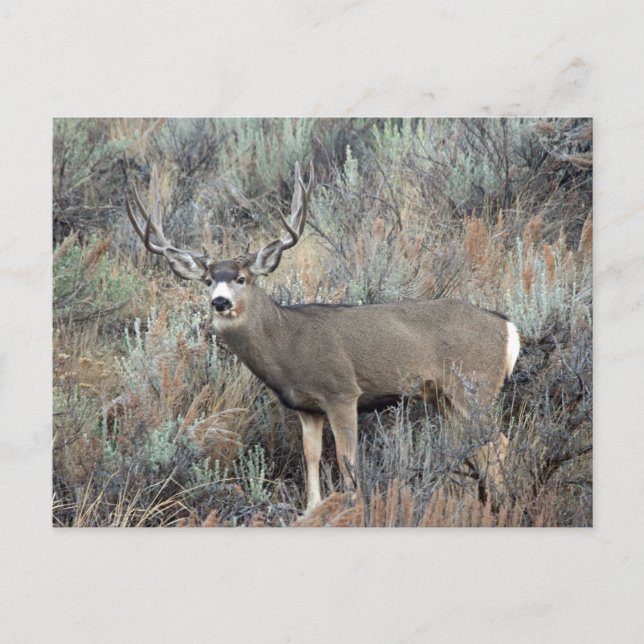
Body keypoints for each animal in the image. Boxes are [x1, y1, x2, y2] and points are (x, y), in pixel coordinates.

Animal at [125, 162, 521, 512]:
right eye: (208, 280)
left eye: (241, 278)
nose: (219, 301)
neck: (287, 344)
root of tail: (508, 327)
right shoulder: (306, 406)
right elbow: (311, 455)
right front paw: (311, 507)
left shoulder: (342, 391)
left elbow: (347, 459)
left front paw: (351, 505)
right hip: (446, 396)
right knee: (471, 444)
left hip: (476, 385)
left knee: (497, 441)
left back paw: (502, 504)